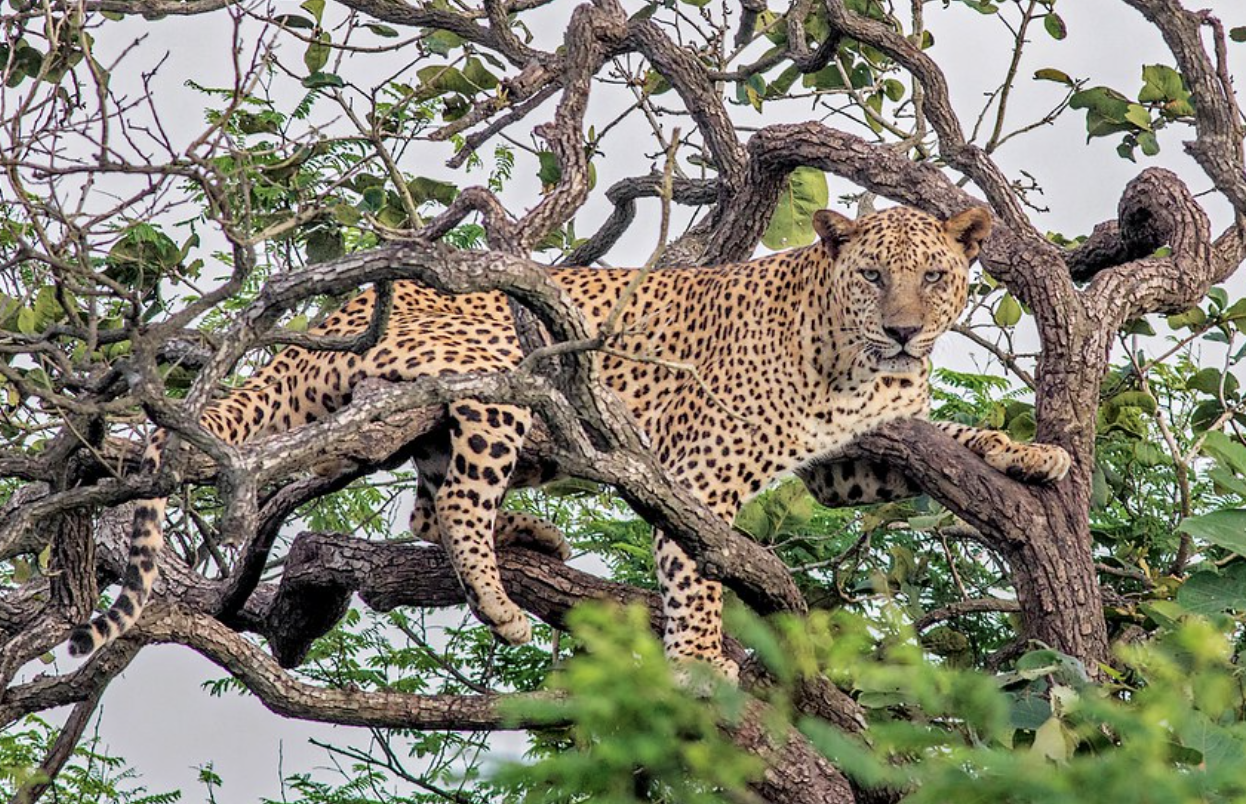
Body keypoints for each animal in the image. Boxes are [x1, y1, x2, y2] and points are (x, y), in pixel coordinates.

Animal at [68, 205, 1071, 678]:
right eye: (871, 276)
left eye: (934, 276)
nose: (904, 331)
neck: (858, 362)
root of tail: (336, 314)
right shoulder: (700, 472)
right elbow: (696, 571)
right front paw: (701, 659)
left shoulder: (841, 461)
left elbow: (945, 437)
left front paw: (1031, 453)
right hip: (495, 376)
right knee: (457, 499)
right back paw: (500, 593)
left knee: (426, 500)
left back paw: (532, 539)